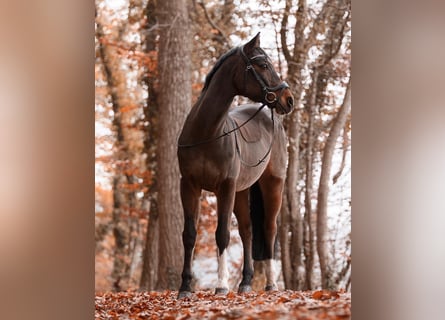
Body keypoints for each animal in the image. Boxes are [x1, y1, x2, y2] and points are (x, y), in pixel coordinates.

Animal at [177, 32, 294, 298]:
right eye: (263, 64)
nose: (289, 99)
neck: (207, 132)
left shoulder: (225, 187)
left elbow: (222, 234)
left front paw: (221, 286)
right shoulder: (189, 186)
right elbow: (189, 234)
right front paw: (185, 287)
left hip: (273, 186)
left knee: (269, 230)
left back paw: (270, 285)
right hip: (242, 191)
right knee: (248, 231)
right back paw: (246, 282)